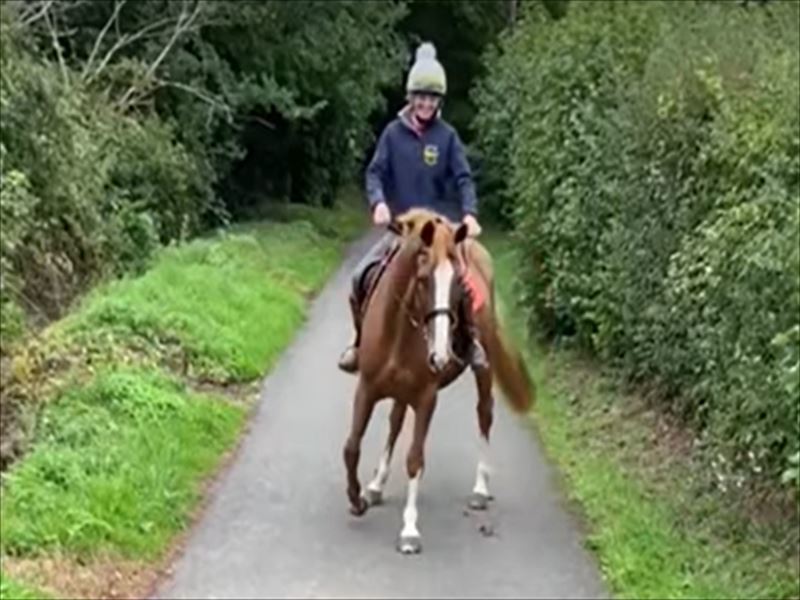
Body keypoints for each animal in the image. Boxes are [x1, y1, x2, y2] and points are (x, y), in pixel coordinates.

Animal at [340, 209, 536, 556]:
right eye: (422, 279)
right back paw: (376, 484)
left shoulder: (426, 397)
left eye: (459, 284)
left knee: (484, 414)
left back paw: (480, 489)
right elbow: (352, 447)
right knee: (395, 422)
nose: (441, 356)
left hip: (483, 372)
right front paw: (358, 499)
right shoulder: (367, 387)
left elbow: (415, 460)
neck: (400, 332)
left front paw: (409, 531)